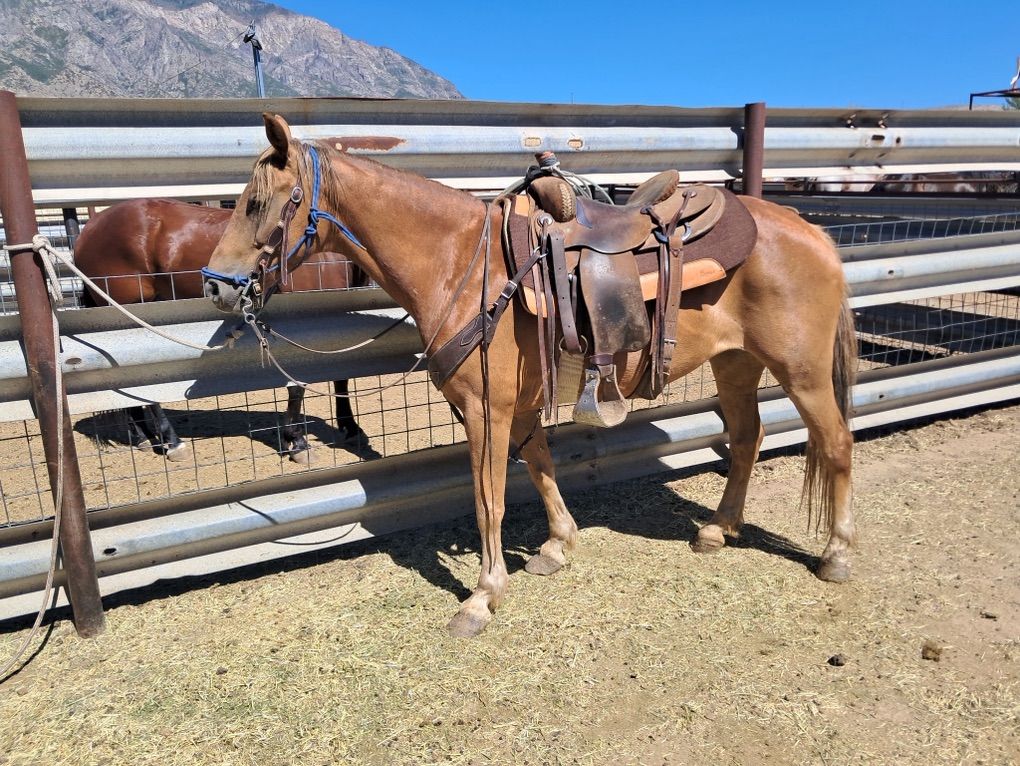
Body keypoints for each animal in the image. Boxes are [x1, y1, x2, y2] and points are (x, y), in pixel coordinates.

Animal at [73, 197, 367, 463]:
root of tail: (90, 227)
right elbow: (298, 386)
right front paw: (297, 443)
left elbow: (342, 376)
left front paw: (350, 427)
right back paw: (172, 443)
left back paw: (145, 438)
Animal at [204, 113, 857, 637]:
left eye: (258, 203)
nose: (215, 286)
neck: (462, 264)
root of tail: (814, 232)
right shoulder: (514, 408)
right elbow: (540, 466)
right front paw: (558, 545)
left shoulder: (484, 411)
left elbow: (487, 499)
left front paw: (483, 595)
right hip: (736, 363)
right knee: (747, 439)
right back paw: (718, 530)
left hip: (801, 372)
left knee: (836, 443)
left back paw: (836, 554)